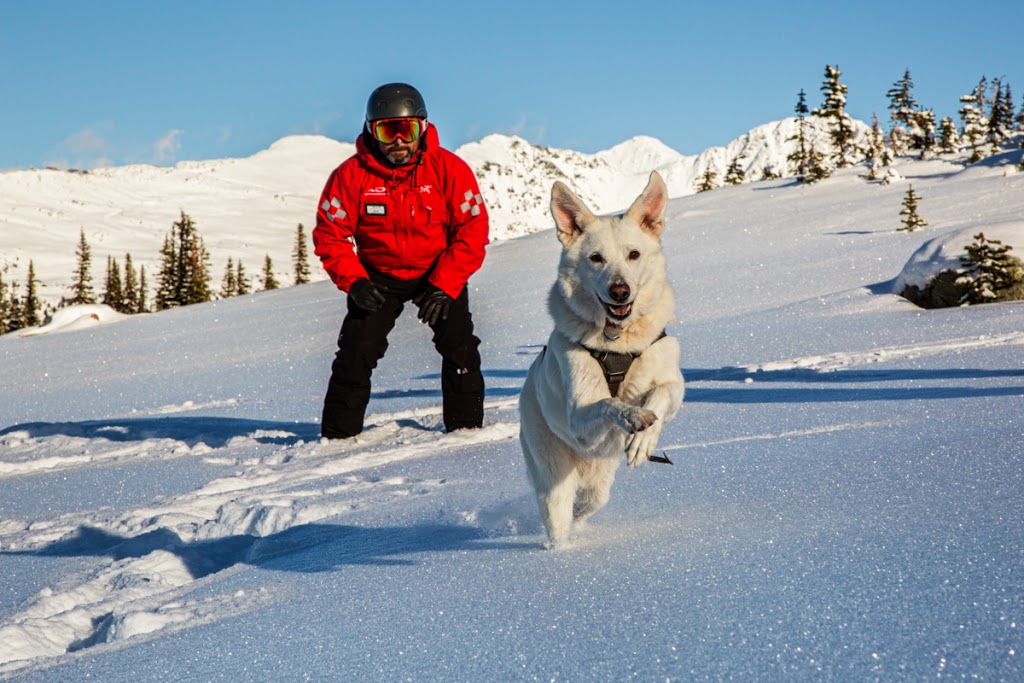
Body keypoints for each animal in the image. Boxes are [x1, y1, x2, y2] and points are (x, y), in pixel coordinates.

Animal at [520, 172, 688, 548]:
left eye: (634, 254)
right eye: (596, 258)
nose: (620, 291)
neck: (618, 339)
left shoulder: (673, 383)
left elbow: (660, 394)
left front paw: (643, 439)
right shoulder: (580, 419)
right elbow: (609, 404)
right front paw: (633, 416)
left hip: (599, 485)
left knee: (587, 504)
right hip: (553, 478)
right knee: (559, 518)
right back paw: (562, 551)